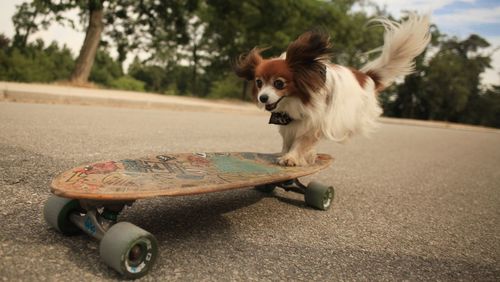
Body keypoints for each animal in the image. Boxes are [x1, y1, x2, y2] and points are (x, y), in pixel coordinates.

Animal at [233, 13, 430, 166]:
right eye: (259, 82)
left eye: (279, 84)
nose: (263, 98)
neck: (296, 101)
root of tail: (367, 76)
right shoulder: (289, 123)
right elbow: (288, 141)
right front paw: (287, 153)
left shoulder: (314, 123)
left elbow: (301, 142)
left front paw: (292, 158)